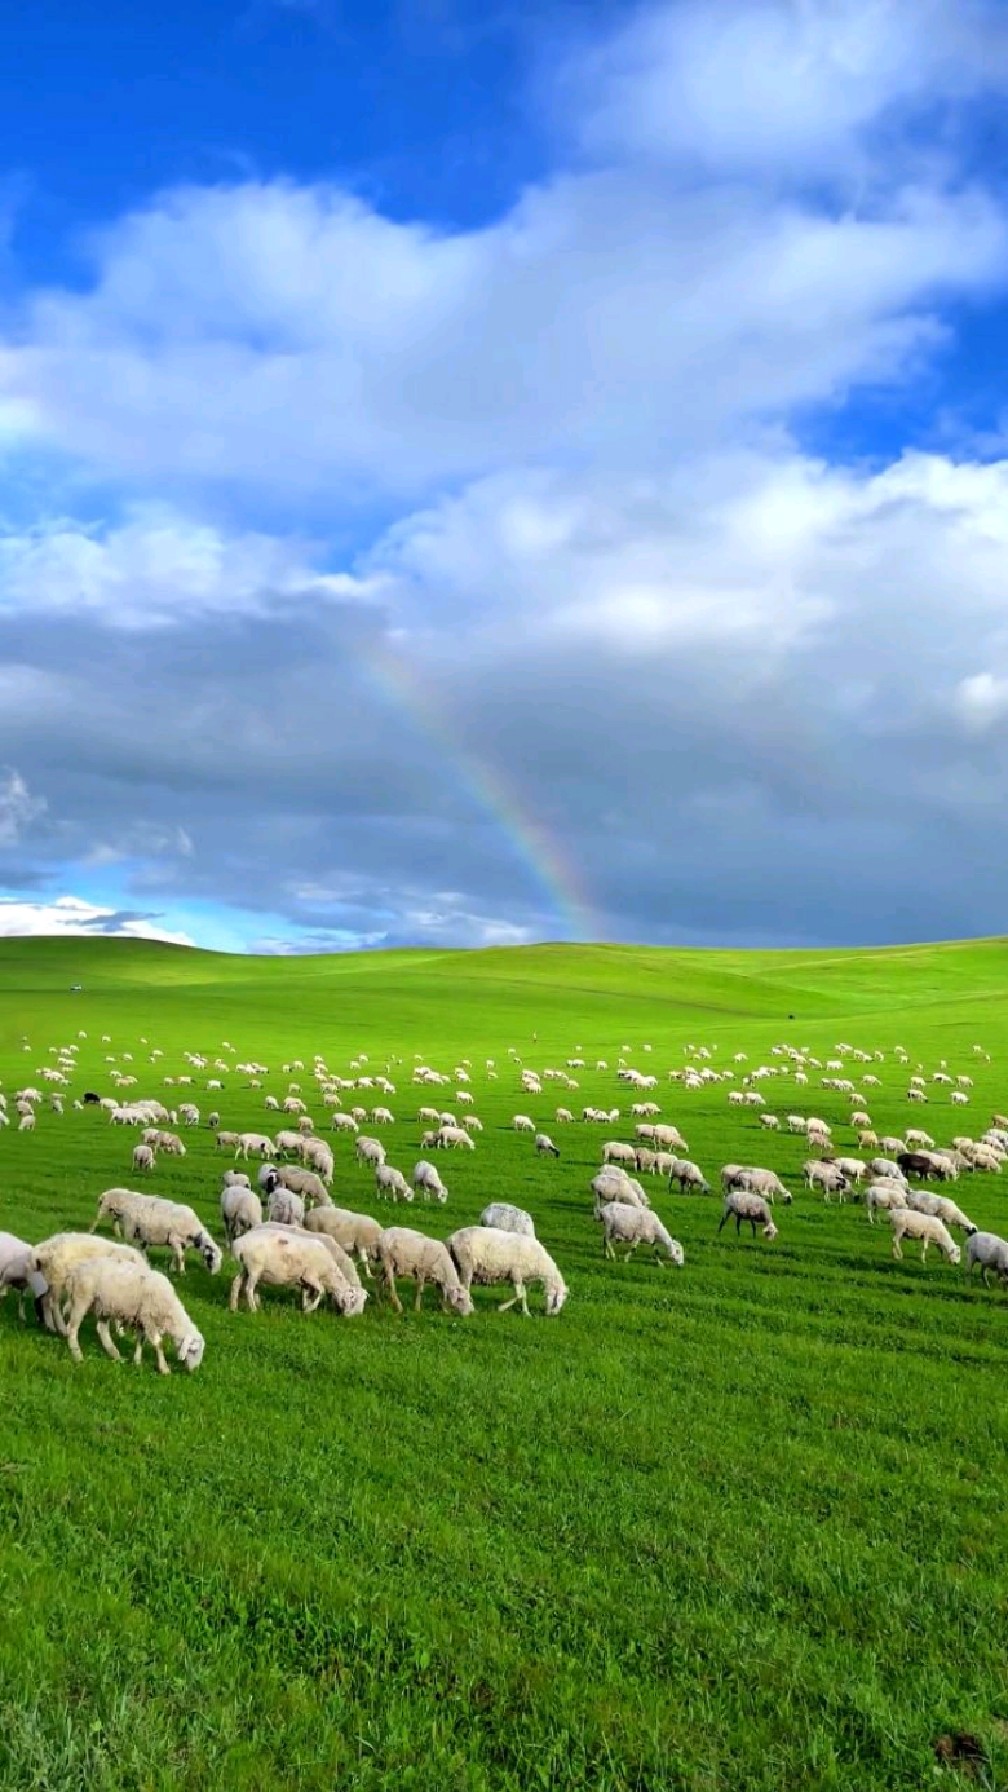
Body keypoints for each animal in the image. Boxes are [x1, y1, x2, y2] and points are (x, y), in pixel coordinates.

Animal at [63, 1254, 206, 1376]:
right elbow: (158, 1343)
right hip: (82, 1298)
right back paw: (78, 1356)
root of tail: (75, 1272)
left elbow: (140, 1340)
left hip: (104, 1305)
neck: (169, 1310)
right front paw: (164, 1368)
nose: (194, 1371)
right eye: (194, 1350)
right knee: (72, 1328)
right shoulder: (148, 1317)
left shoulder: (142, 1320)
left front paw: (137, 1362)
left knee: (102, 1330)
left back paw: (116, 1355)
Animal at [227, 1218, 364, 1318]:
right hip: (254, 1268)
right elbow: (321, 1291)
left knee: (236, 1283)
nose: (349, 1318)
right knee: (249, 1288)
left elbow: (307, 1295)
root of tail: (240, 1242)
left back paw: (234, 1307)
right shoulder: (310, 1276)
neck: (329, 1272)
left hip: (245, 1268)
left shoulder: (305, 1281)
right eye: (354, 1301)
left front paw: (305, 1308)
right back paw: (254, 1309)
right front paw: (310, 1309)